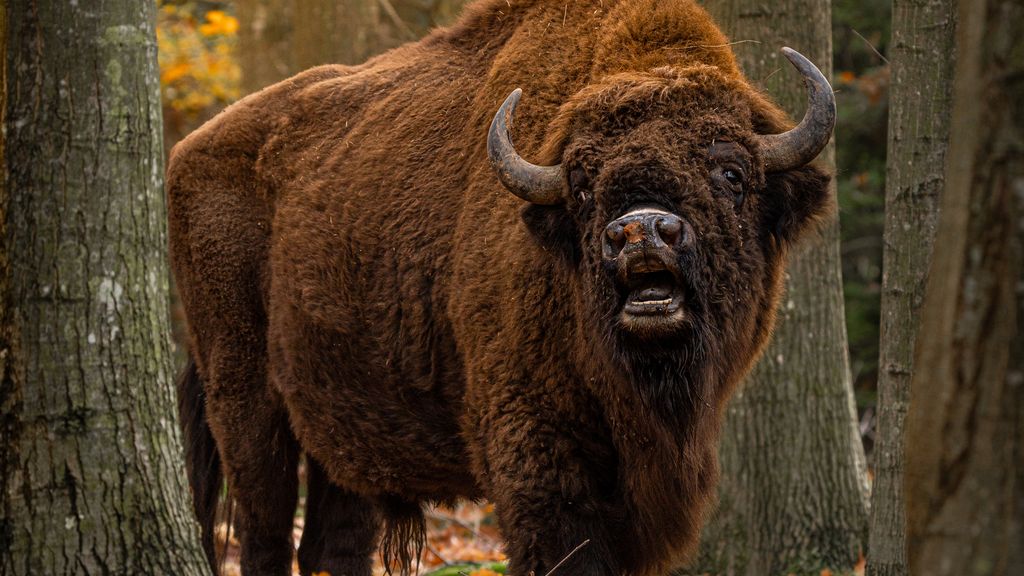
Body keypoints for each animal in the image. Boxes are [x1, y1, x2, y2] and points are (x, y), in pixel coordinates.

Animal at [168, 0, 836, 575]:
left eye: (732, 173)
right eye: (583, 186)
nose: (641, 232)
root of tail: (185, 153)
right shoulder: (538, 457)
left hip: (338, 425)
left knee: (332, 543)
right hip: (245, 404)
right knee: (263, 529)